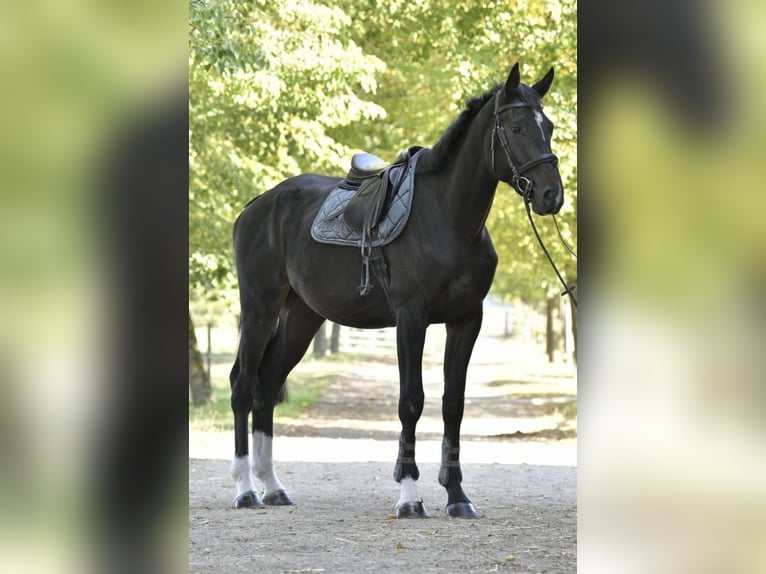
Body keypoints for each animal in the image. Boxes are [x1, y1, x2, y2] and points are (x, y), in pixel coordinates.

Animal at [228, 64, 564, 520]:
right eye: (515, 127)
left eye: (549, 127)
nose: (552, 195)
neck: (445, 218)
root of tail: (256, 205)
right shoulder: (411, 318)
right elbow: (412, 401)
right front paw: (409, 495)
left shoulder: (466, 320)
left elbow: (452, 404)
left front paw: (457, 496)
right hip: (260, 309)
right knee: (243, 386)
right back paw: (246, 489)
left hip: (302, 316)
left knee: (266, 385)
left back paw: (273, 487)